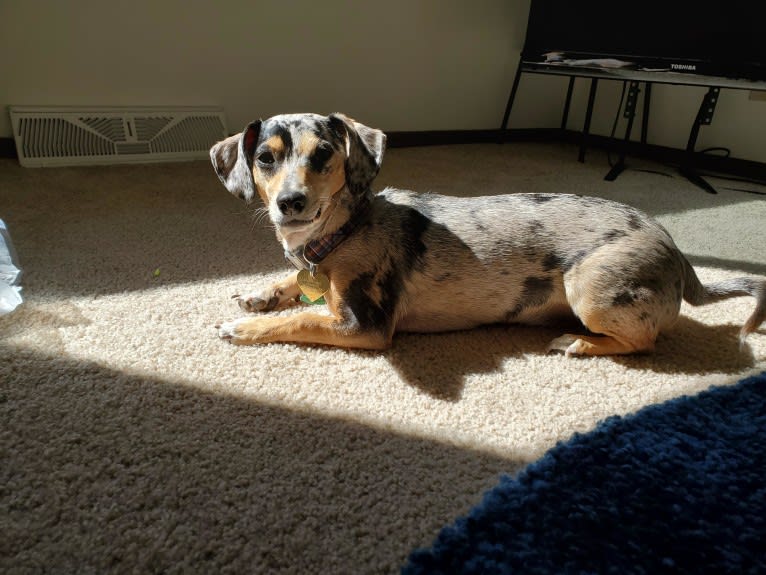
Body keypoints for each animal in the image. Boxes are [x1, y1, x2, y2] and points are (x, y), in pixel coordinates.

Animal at [210, 112, 766, 356]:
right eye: (265, 159)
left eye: (324, 154)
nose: (290, 203)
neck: (342, 233)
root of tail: (679, 254)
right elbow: (292, 287)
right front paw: (262, 294)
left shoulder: (364, 326)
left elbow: (301, 319)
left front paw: (244, 327)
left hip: (590, 288)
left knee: (643, 342)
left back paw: (579, 343)